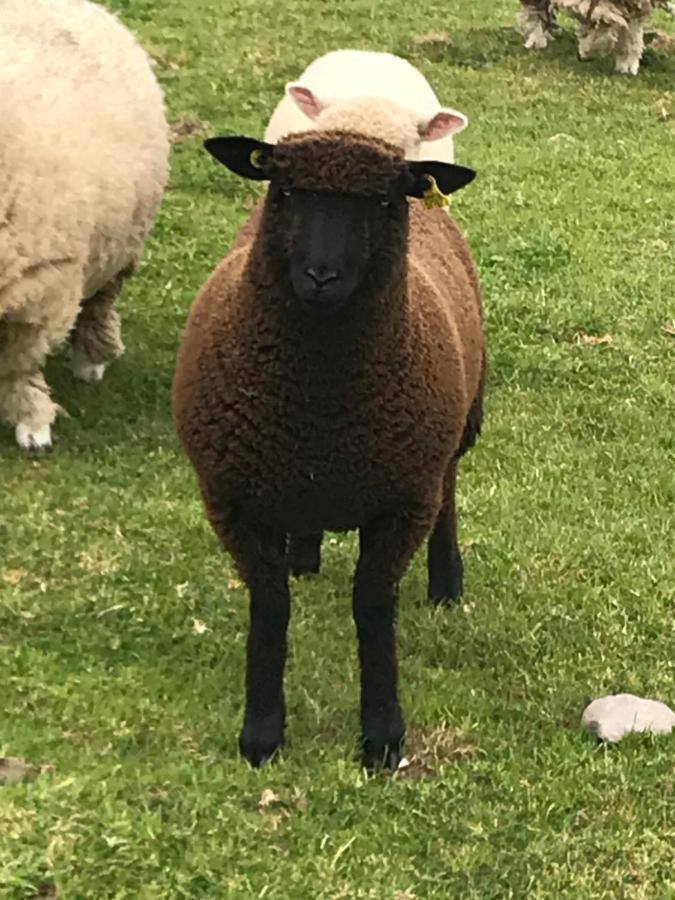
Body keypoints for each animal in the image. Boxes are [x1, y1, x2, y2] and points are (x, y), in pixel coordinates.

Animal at [0, 0, 169, 450]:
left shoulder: (40, 291)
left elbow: (17, 366)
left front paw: (32, 423)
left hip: (120, 245)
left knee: (100, 302)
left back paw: (91, 360)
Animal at [173, 130, 486, 768]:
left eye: (384, 202)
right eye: (286, 189)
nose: (321, 276)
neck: (319, 414)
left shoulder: (402, 502)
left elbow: (373, 605)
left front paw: (383, 735)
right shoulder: (233, 503)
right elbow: (271, 608)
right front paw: (261, 734)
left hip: (455, 428)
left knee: (447, 490)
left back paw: (446, 581)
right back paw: (306, 554)